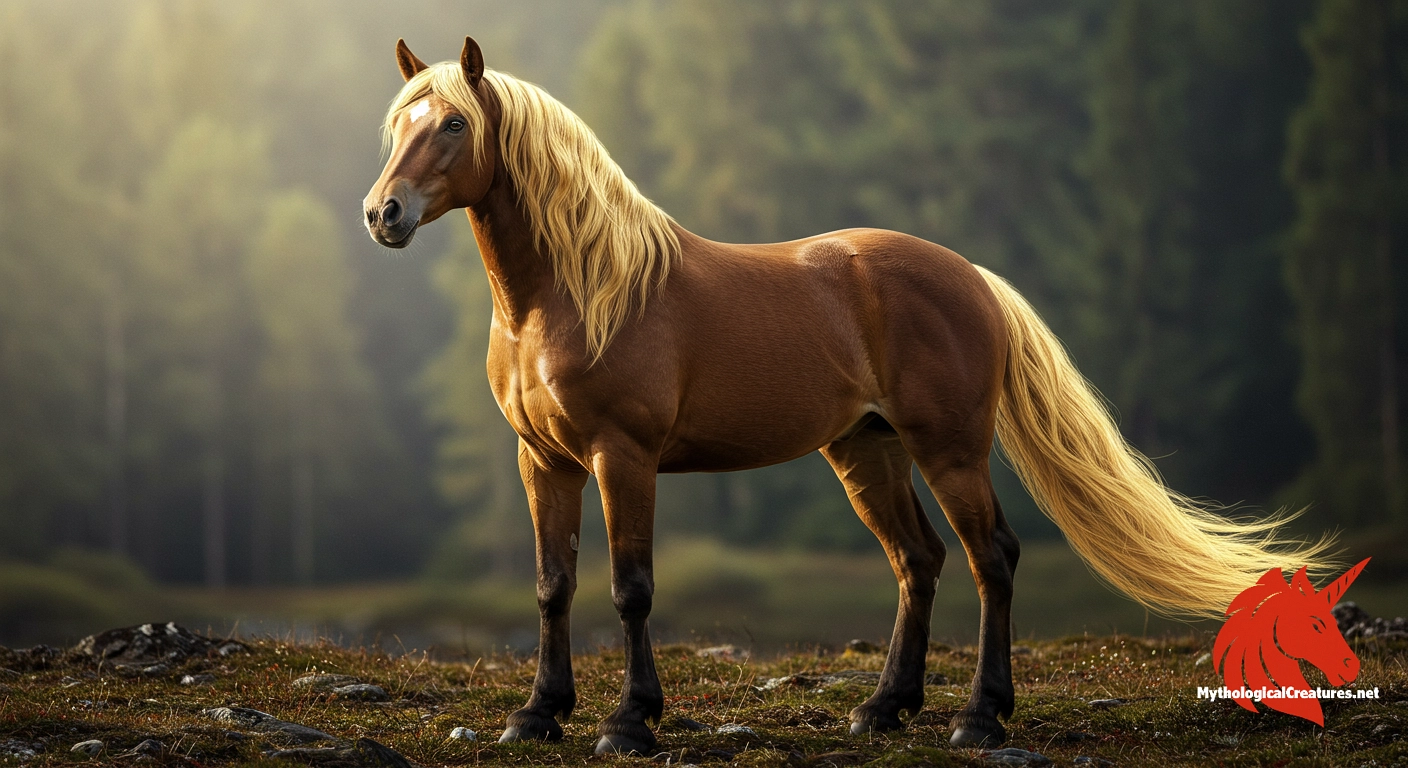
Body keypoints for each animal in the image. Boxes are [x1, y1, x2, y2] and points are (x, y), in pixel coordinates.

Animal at [364, 37, 1337, 754]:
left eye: (453, 122)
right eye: (394, 125)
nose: (384, 214)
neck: (571, 294)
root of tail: (973, 277)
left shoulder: (622, 458)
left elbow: (630, 588)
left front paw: (628, 723)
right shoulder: (544, 460)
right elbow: (551, 584)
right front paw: (537, 714)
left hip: (949, 451)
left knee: (991, 557)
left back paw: (979, 718)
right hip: (866, 451)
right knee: (919, 560)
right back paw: (883, 708)